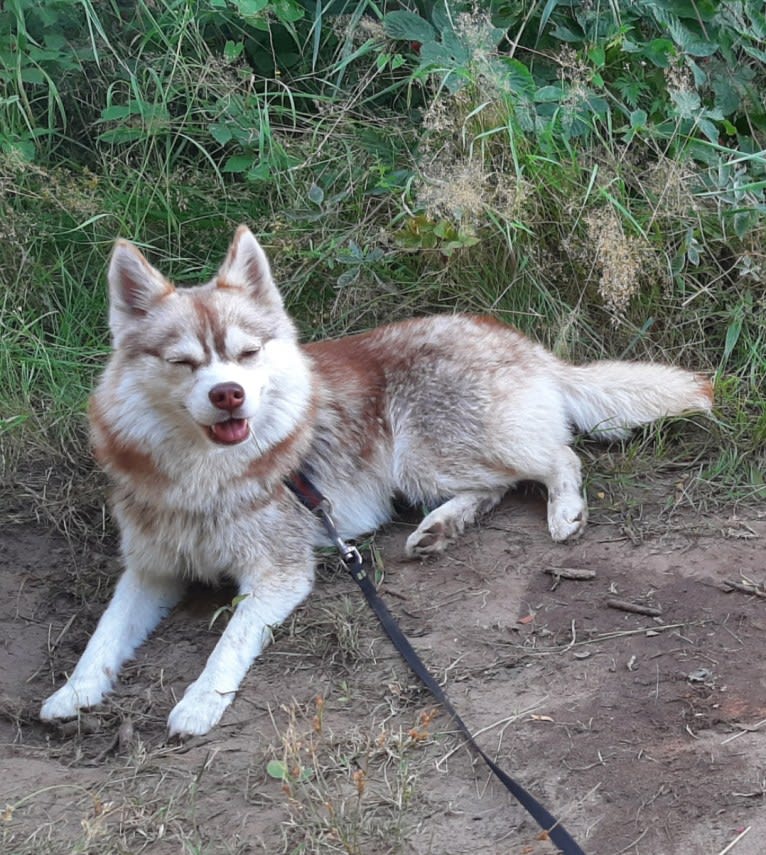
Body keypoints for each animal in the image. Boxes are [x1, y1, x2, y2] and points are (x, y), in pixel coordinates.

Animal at [40, 226, 712, 736]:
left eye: (247, 354)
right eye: (183, 362)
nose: (227, 393)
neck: (202, 476)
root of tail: (520, 340)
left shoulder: (277, 575)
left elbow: (228, 640)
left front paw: (200, 702)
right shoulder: (151, 569)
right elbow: (103, 635)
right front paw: (73, 692)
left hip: (423, 450)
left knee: (557, 459)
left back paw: (562, 511)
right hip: (426, 466)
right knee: (496, 487)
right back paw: (439, 529)